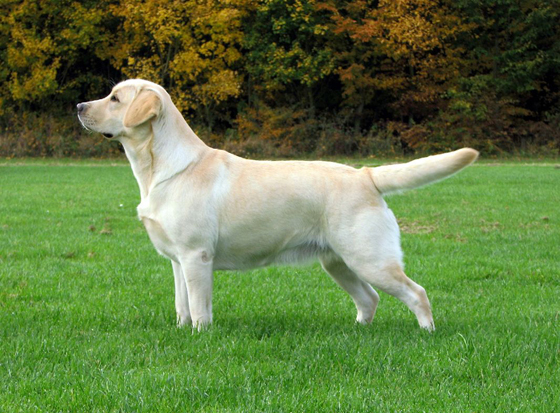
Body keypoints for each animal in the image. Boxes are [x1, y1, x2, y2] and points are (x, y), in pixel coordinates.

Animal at [76, 79, 480, 332]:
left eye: (115, 98)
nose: (79, 105)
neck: (161, 169)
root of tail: (366, 174)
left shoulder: (196, 256)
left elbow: (200, 308)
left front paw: (200, 337)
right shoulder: (177, 261)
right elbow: (182, 305)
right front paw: (182, 331)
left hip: (370, 258)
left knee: (416, 293)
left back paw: (426, 333)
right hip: (338, 262)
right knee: (370, 299)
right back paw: (357, 333)